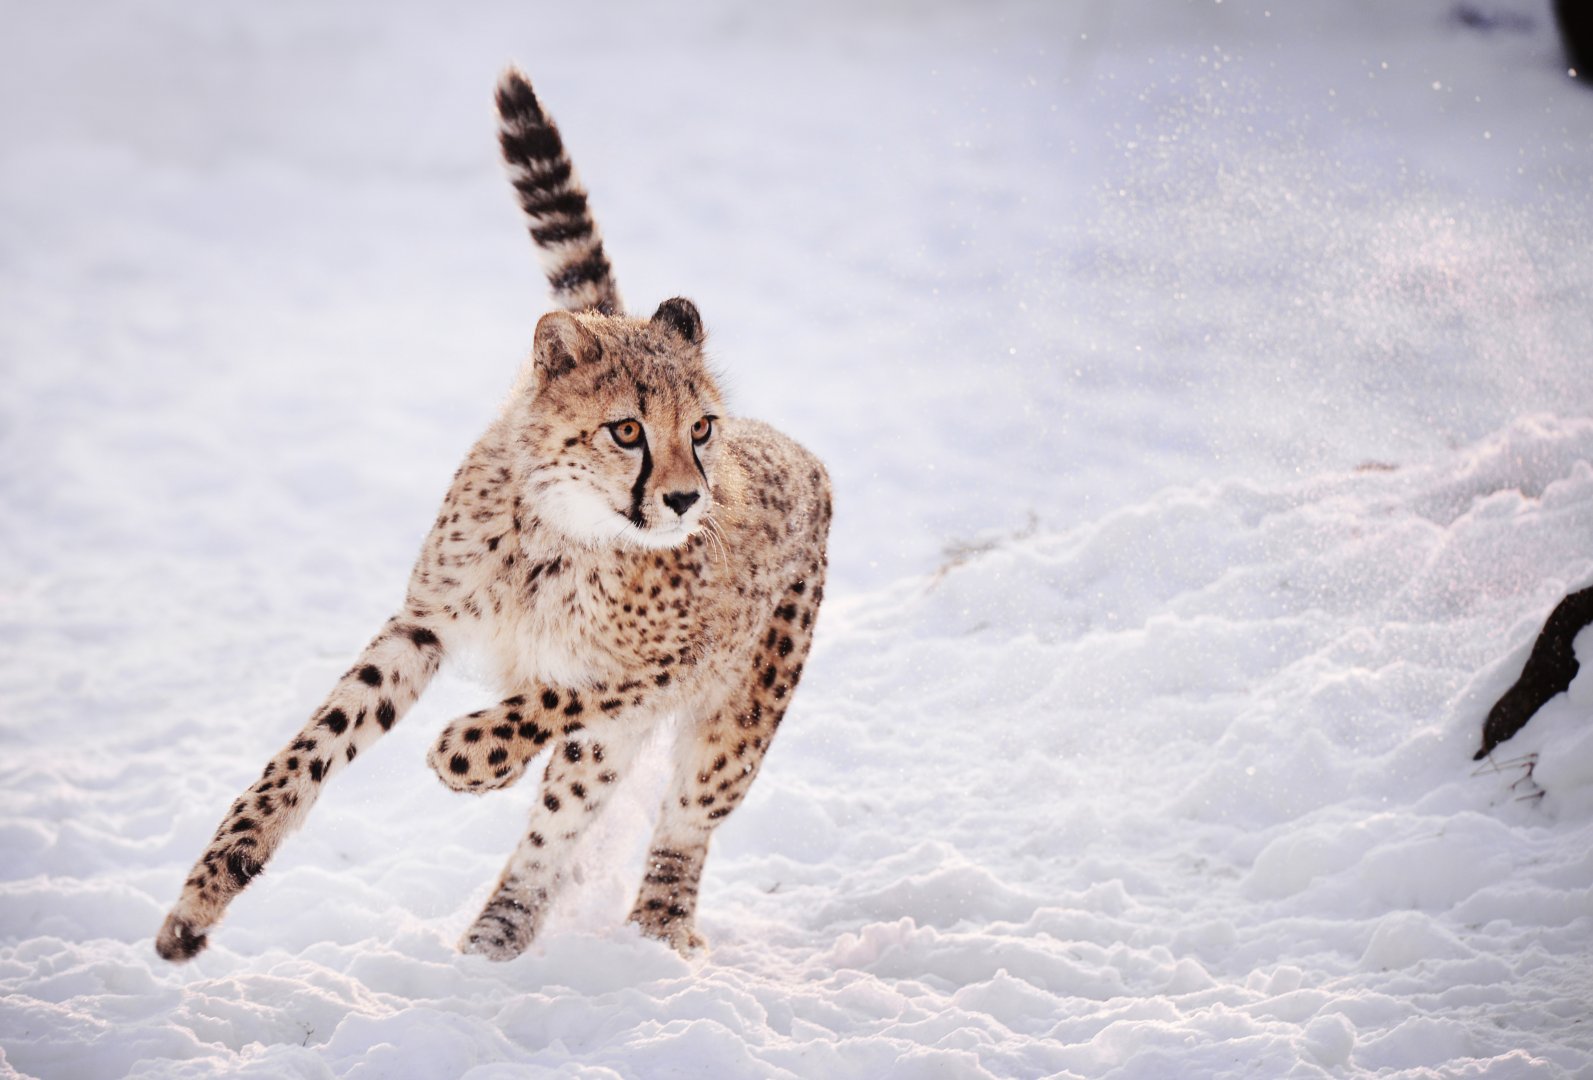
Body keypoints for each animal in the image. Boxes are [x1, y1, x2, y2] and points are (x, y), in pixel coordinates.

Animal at [155, 68, 831, 964]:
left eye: (700, 429)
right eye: (627, 430)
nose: (688, 498)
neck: (562, 529)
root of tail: (810, 460)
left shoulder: (663, 666)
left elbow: (553, 698)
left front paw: (467, 755)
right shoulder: (423, 623)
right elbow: (315, 745)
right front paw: (211, 885)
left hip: (741, 715)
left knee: (678, 818)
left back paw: (654, 928)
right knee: (561, 825)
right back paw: (495, 939)